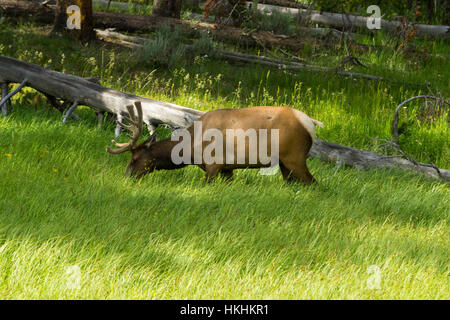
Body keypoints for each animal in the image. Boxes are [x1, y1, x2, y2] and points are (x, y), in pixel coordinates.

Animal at [105, 100, 324, 185]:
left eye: (134, 159)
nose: (126, 177)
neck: (190, 151)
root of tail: (311, 122)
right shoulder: (227, 168)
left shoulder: (214, 164)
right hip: (284, 163)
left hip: (295, 157)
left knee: (314, 183)